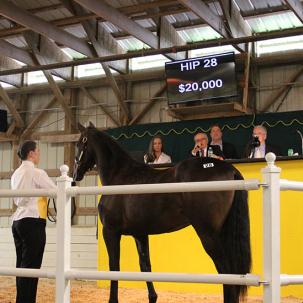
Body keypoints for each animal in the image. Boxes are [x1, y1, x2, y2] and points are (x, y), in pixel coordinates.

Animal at [73, 123, 252, 303]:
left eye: (80, 143)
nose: (75, 175)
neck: (120, 177)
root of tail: (229, 169)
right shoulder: (140, 234)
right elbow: (145, 265)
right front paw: (153, 297)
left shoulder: (110, 231)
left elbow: (114, 267)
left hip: (208, 234)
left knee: (226, 272)